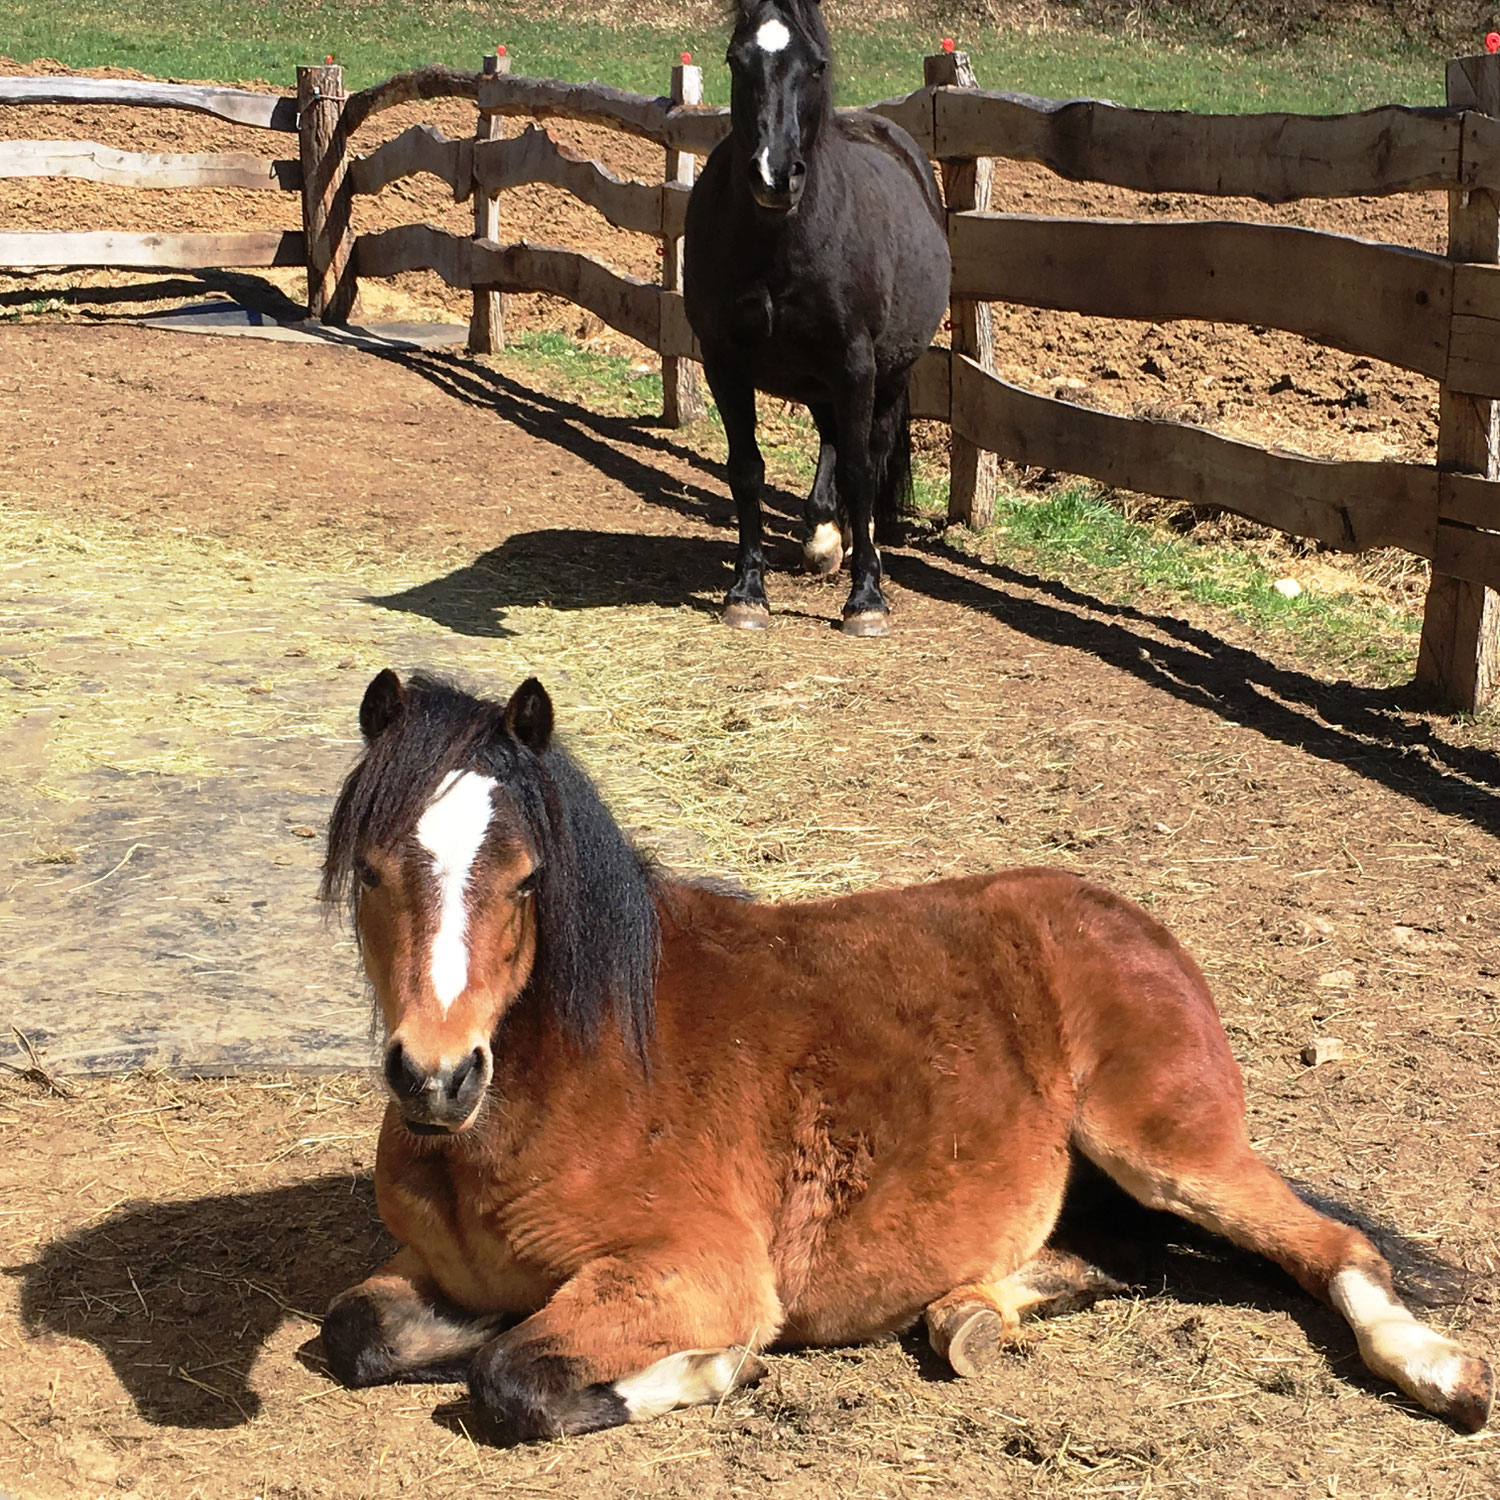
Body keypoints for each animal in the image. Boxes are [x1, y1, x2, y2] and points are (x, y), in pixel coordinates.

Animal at [684, 0, 942, 633]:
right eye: (737, 58)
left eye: (817, 64)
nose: (775, 174)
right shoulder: (724, 361)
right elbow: (746, 469)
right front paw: (747, 592)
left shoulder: (855, 365)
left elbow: (860, 472)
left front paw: (866, 600)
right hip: (822, 381)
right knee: (831, 443)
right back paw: (826, 537)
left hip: (886, 377)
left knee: (870, 456)